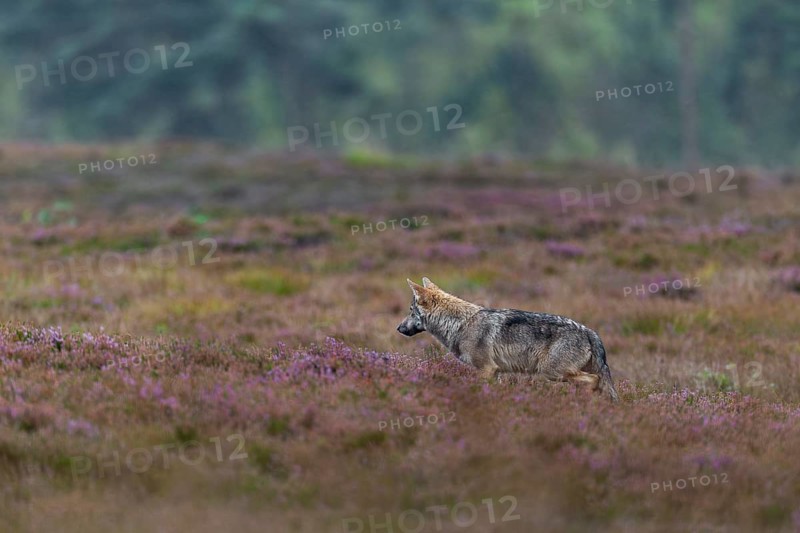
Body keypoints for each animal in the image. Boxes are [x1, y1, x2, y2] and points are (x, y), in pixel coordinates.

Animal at [397, 277, 619, 401]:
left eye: (410, 311)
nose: (398, 328)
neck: (461, 323)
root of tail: (590, 331)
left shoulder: (486, 369)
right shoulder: (496, 372)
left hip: (552, 372)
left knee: (594, 380)